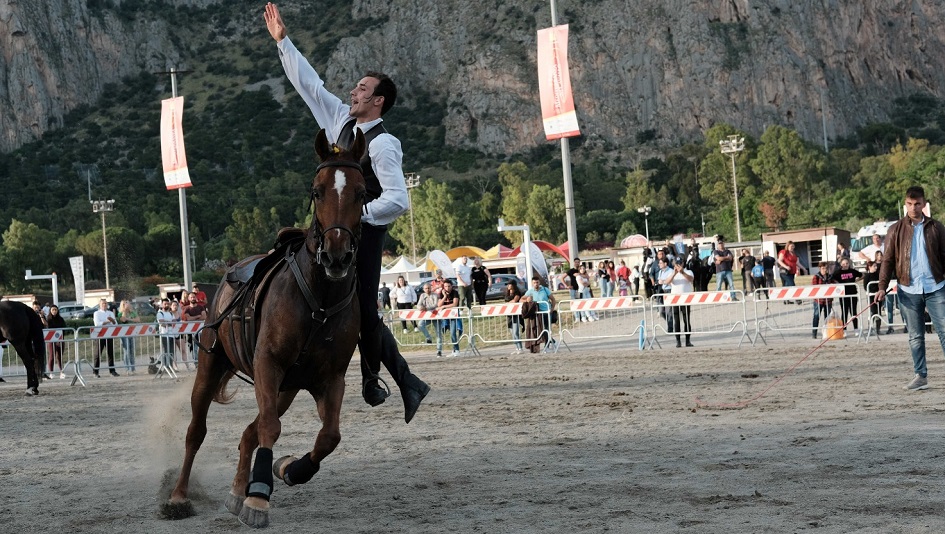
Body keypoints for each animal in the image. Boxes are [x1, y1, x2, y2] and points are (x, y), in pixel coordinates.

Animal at [163, 128, 368, 528]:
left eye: (362, 192)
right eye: (317, 190)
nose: (336, 255)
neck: (319, 301)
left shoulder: (330, 377)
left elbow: (329, 436)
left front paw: (287, 469)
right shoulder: (267, 364)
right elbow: (270, 429)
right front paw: (258, 498)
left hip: (285, 388)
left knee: (249, 432)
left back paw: (237, 491)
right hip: (212, 366)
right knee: (197, 431)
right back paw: (179, 495)